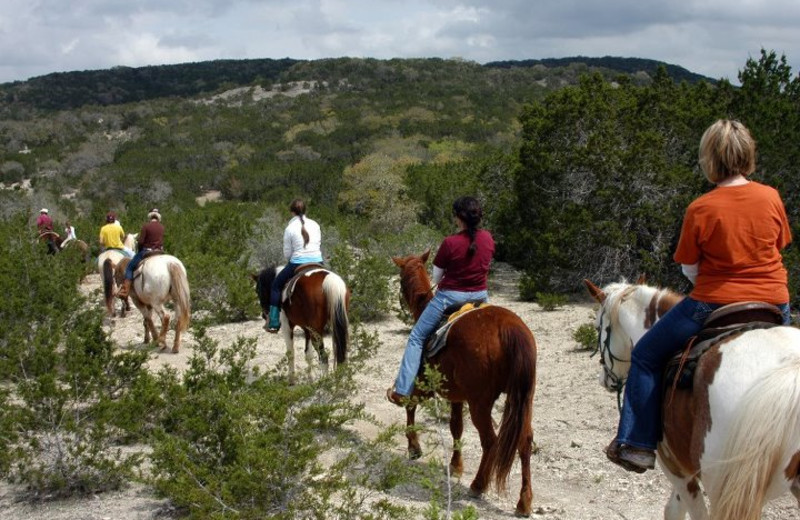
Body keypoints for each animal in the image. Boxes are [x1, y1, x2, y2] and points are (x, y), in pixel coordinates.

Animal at [392, 251, 536, 516]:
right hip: (524, 398)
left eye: (400, 280)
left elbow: (411, 406)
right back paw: (524, 502)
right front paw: (455, 465)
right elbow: (456, 427)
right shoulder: (457, 395)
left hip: (481, 403)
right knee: (525, 441)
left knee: (490, 440)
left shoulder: (425, 384)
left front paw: (414, 448)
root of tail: (510, 328)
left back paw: (478, 485)